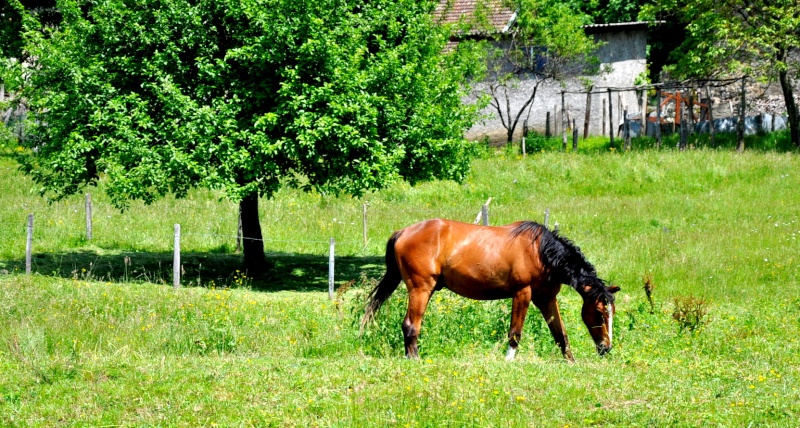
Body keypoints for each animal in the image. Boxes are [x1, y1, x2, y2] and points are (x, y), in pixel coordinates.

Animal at [360, 217, 620, 362]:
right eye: (599, 313)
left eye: (612, 313)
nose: (606, 348)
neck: (541, 251)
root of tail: (403, 232)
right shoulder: (523, 293)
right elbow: (515, 332)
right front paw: (508, 360)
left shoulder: (546, 298)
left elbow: (560, 333)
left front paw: (570, 361)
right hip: (421, 289)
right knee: (410, 325)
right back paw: (414, 359)